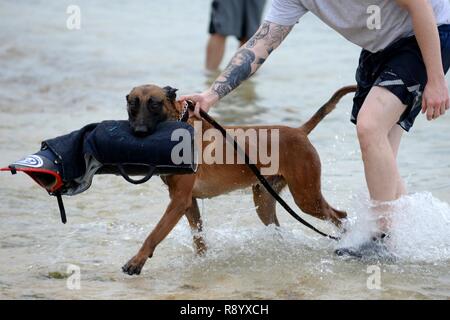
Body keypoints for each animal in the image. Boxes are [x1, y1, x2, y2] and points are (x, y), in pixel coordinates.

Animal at [121, 84, 356, 274]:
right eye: (132, 104)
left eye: (154, 104)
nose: (139, 132)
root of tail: (300, 131)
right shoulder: (188, 202)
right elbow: (198, 238)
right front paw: (201, 261)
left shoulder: (179, 201)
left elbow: (154, 234)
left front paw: (137, 260)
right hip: (265, 201)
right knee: (279, 228)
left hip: (306, 198)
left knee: (340, 216)